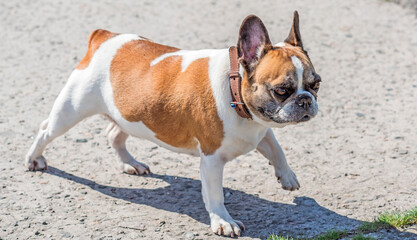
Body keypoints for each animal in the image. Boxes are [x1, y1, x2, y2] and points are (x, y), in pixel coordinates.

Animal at [25, 11, 318, 236]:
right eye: (282, 90)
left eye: (316, 85)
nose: (306, 100)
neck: (235, 91)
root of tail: (104, 37)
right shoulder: (212, 159)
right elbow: (215, 193)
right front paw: (223, 221)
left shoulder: (261, 128)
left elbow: (275, 147)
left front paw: (287, 176)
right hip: (71, 109)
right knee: (46, 130)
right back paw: (34, 159)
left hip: (130, 114)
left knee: (114, 134)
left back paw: (130, 163)